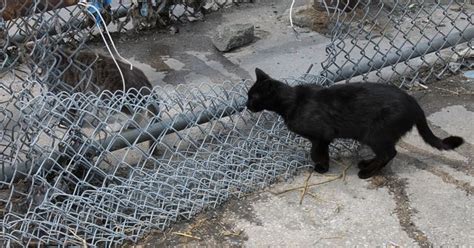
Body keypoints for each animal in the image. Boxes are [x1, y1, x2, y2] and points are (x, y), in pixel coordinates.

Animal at [246, 68, 464, 178]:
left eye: (252, 97)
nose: (246, 105)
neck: (291, 102)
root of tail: (414, 103)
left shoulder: (321, 136)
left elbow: (316, 152)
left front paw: (321, 168)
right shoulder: (323, 139)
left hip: (375, 134)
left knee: (389, 153)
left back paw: (367, 172)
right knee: (386, 153)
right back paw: (367, 164)